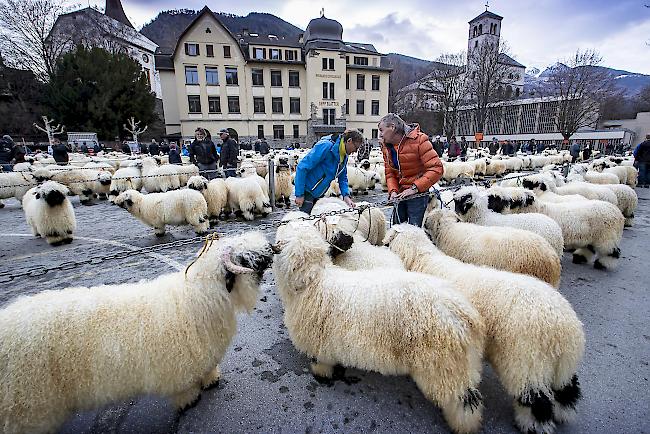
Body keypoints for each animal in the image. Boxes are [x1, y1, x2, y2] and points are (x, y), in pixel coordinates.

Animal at [0, 231, 274, 434]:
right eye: (245, 258)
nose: (271, 249)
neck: (197, 299)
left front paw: (211, 380)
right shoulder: (178, 368)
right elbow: (185, 390)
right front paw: (189, 401)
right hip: (31, 407)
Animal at [272, 224, 486, 434]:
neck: (313, 282)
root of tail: (464, 315)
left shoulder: (317, 341)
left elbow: (320, 363)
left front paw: (321, 374)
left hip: (443, 366)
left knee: (463, 401)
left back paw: (462, 426)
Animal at [384, 224, 584, 434]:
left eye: (388, 242)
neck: (423, 260)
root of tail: (563, 326)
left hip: (526, 361)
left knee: (536, 400)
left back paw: (532, 425)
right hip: (562, 363)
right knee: (567, 389)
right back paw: (563, 413)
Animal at [486, 188, 624, 270]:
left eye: (516, 202)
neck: (540, 210)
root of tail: (618, 213)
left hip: (607, 236)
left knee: (613, 251)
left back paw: (601, 264)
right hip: (593, 236)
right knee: (589, 247)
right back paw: (579, 258)